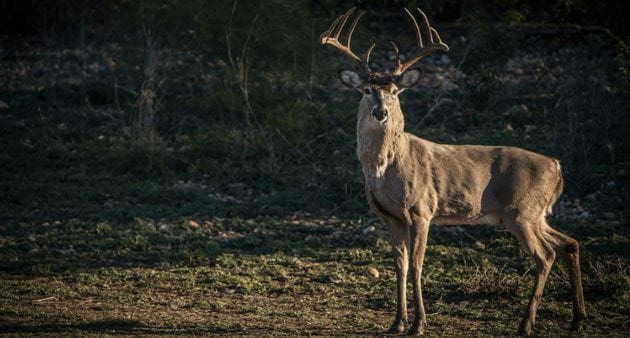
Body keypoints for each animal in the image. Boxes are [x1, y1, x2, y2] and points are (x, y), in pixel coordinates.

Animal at [324, 7, 592, 336]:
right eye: (365, 90)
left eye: (395, 91)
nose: (381, 112)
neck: (385, 172)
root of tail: (557, 167)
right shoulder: (389, 216)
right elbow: (400, 266)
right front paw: (397, 322)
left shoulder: (421, 210)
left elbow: (416, 266)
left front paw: (419, 324)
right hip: (534, 214)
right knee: (569, 243)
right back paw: (577, 319)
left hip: (522, 211)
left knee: (545, 256)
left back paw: (526, 324)